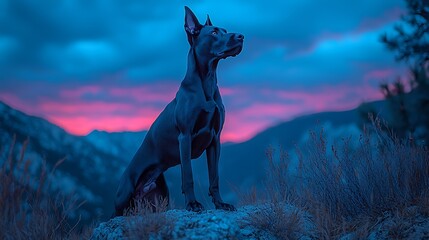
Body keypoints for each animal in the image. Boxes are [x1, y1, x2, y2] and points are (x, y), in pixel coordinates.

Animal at [113, 6, 242, 215]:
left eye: (224, 30)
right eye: (214, 33)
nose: (241, 36)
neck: (206, 82)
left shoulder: (215, 139)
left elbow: (214, 177)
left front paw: (221, 204)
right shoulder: (185, 136)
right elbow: (187, 176)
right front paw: (193, 204)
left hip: (160, 195)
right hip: (124, 194)